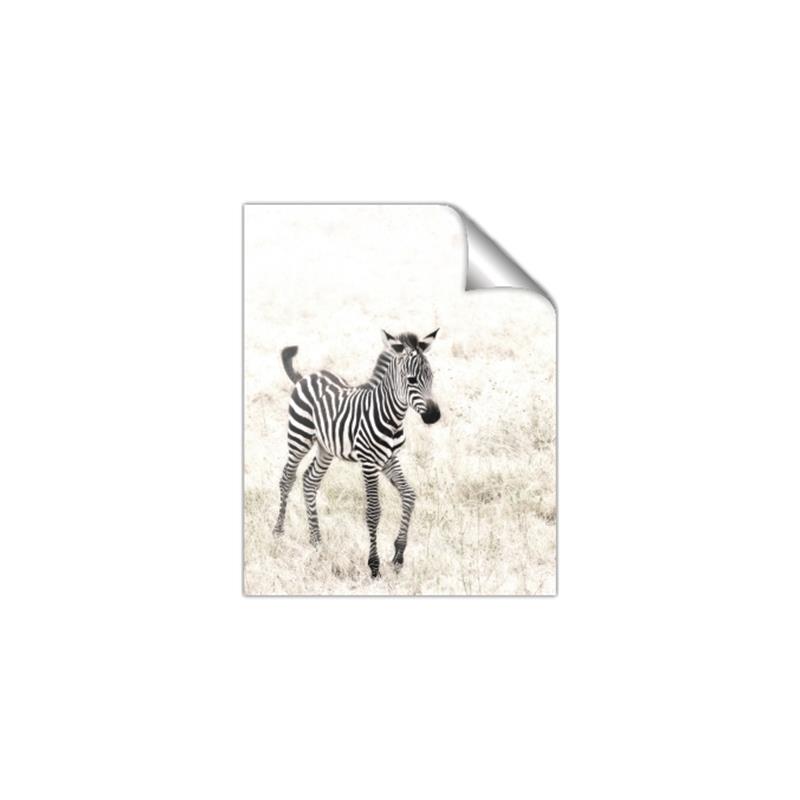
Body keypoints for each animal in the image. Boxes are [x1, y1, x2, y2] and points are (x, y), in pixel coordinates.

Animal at [271, 329, 441, 578]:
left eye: (432, 377)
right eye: (411, 380)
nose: (434, 416)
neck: (391, 417)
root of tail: (306, 377)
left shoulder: (390, 459)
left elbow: (409, 496)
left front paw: (398, 555)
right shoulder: (369, 463)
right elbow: (373, 511)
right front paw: (374, 566)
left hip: (326, 448)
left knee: (310, 480)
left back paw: (316, 541)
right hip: (299, 437)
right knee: (287, 478)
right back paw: (278, 532)